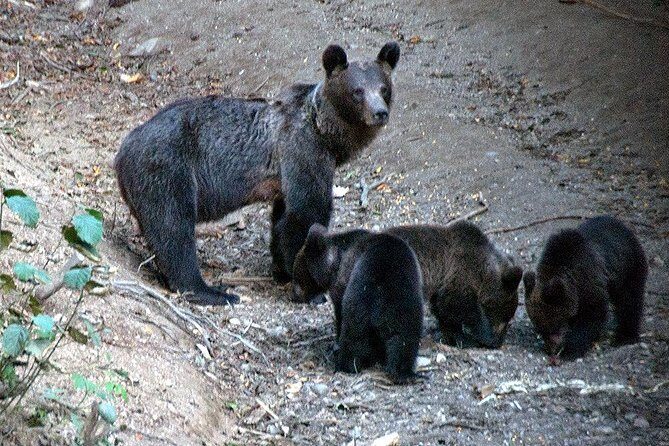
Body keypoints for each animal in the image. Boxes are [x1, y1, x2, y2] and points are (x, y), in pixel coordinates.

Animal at [114, 42, 400, 305]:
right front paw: (310, 288)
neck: (326, 133)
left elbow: (282, 219)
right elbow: (306, 214)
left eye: (383, 88)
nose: (380, 113)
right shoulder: (303, 151)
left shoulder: (286, 178)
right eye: (357, 91)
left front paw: (282, 269)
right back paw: (213, 291)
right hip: (168, 170)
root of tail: (123, 151)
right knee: (174, 230)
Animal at [292, 221, 523, 349]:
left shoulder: (443, 283)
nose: (500, 340)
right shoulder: (459, 277)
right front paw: (479, 335)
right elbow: (459, 307)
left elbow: (444, 310)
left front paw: (454, 335)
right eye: (507, 315)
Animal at [299, 224, 424, 383]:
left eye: (300, 274)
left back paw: (345, 365)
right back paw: (404, 373)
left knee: (354, 337)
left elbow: (339, 312)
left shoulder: (341, 283)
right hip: (405, 305)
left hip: (360, 302)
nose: (298, 294)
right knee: (404, 340)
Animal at [523, 215, 648, 364]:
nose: (550, 349)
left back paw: (626, 336)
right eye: (540, 330)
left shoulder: (589, 283)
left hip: (628, 269)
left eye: (553, 326)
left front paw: (569, 350)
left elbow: (592, 316)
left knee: (630, 302)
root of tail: (626, 229)